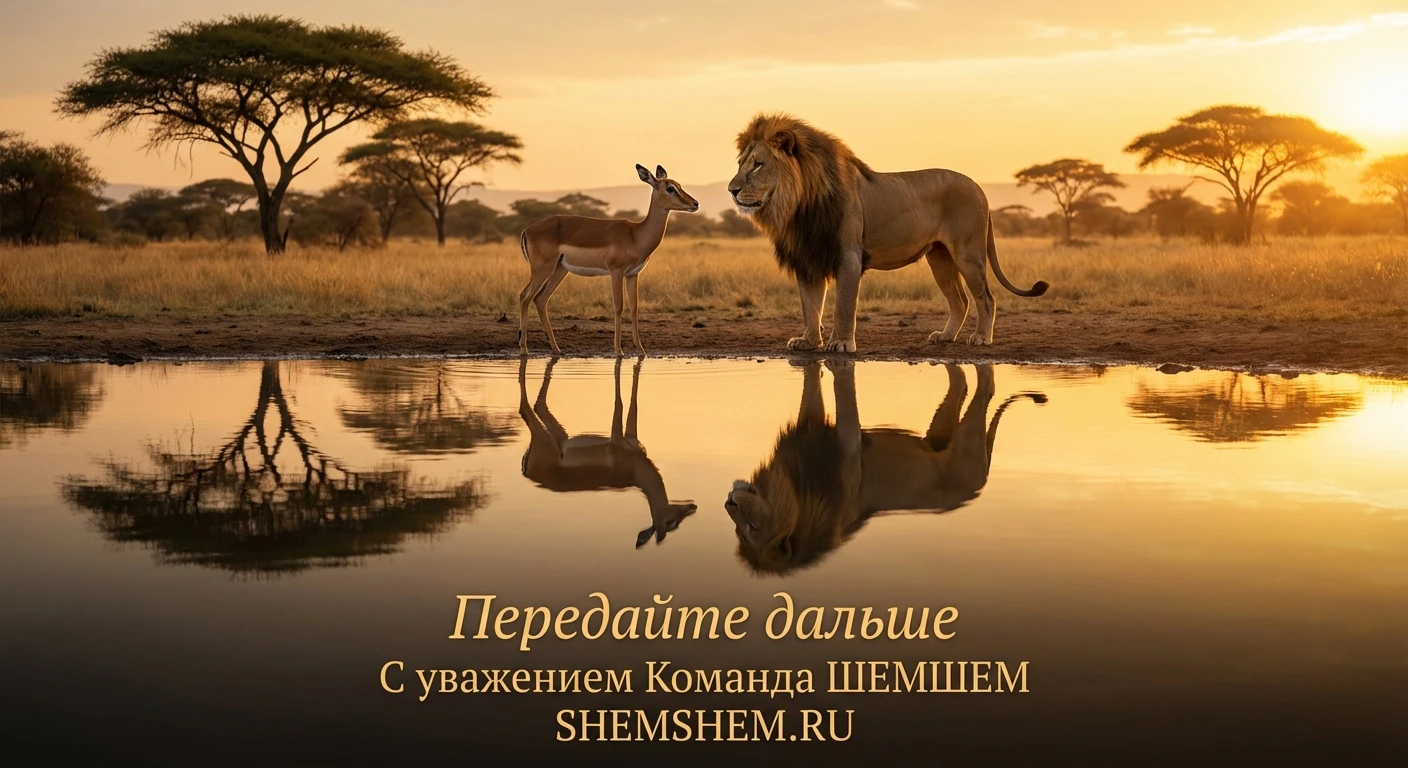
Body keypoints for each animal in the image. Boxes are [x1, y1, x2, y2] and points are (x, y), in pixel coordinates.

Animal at [518, 164, 700, 357]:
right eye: (670, 188)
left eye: (679, 185)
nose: (695, 203)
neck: (636, 235)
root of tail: (528, 230)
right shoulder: (616, 272)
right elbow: (618, 307)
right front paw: (619, 351)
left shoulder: (632, 274)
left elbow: (634, 308)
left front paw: (641, 350)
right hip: (542, 269)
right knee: (524, 296)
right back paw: (524, 348)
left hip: (559, 269)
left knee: (540, 299)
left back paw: (556, 349)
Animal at [518, 357, 697, 547]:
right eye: (671, 522)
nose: (692, 507)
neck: (636, 472)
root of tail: (526, 471)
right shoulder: (616, 439)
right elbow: (619, 403)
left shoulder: (630, 436)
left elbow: (633, 404)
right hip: (546, 439)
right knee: (525, 408)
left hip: (559, 438)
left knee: (539, 406)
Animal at [723, 362, 1045, 574]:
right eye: (740, 533)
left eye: (752, 527)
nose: (727, 502)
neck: (796, 491)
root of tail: (981, 484)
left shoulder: (847, 451)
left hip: (969, 435)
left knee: (985, 392)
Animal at [728, 114, 1049, 350]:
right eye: (740, 164)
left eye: (757, 165)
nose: (731, 190)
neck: (798, 206)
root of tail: (978, 187)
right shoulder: (809, 257)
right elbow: (810, 305)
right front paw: (807, 341)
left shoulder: (848, 256)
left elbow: (843, 306)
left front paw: (840, 343)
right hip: (939, 258)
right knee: (960, 300)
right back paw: (945, 337)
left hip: (968, 255)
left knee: (986, 298)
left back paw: (982, 338)